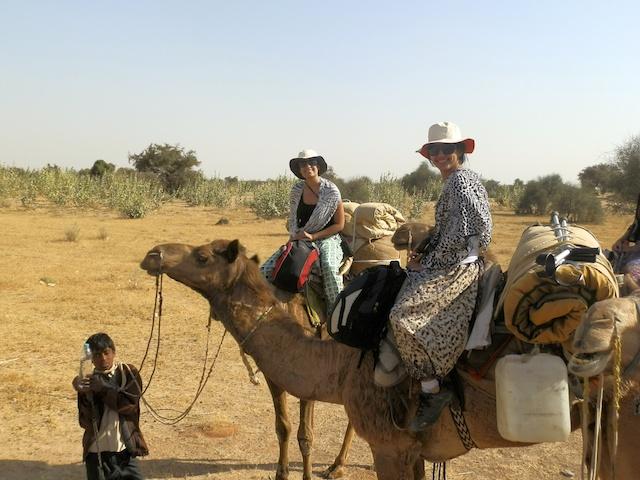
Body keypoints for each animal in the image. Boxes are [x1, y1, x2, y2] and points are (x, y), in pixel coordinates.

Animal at [140, 238, 592, 478]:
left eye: (202, 256)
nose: (154, 254)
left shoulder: (393, 444)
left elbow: (305, 432)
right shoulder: (411, 449)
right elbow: (286, 427)